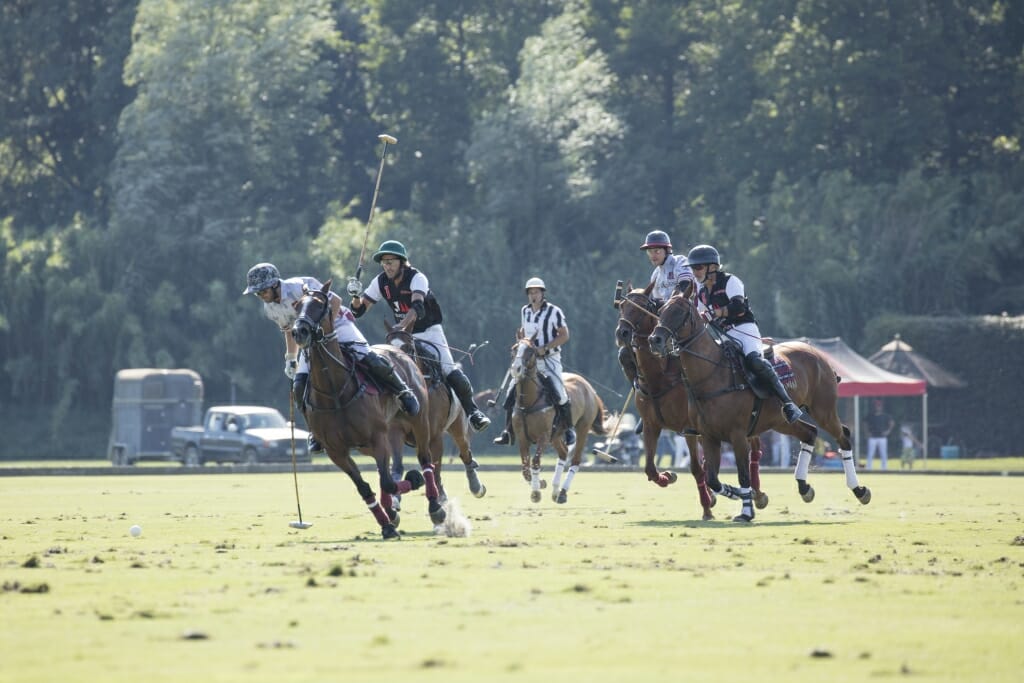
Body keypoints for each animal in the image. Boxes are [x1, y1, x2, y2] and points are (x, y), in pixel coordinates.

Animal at [292, 280, 444, 536]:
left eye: (320, 304)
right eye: (297, 306)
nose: (299, 331)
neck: (335, 392)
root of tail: (401, 352)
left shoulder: (377, 436)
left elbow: (388, 482)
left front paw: (413, 482)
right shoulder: (336, 451)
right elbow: (365, 487)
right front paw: (387, 523)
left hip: (419, 422)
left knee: (425, 460)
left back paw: (435, 506)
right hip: (377, 439)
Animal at [385, 327, 489, 505]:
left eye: (408, 348)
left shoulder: (435, 437)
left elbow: (436, 467)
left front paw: (440, 497)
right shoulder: (396, 431)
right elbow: (398, 464)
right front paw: (395, 499)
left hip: (458, 426)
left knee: (465, 452)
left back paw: (476, 487)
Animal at [507, 339, 610, 505]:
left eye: (530, 351)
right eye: (514, 348)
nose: (516, 369)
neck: (527, 403)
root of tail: (589, 387)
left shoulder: (543, 436)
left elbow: (535, 461)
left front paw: (536, 492)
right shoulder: (522, 437)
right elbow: (525, 467)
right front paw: (540, 483)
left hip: (582, 427)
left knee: (575, 459)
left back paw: (562, 493)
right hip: (556, 434)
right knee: (563, 453)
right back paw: (555, 490)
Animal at [610, 284, 765, 518]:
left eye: (641, 308)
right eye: (622, 306)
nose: (622, 333)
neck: (659, 377)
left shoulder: (689, 428)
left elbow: (696, 468)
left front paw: (707, 508)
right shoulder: (651, 425)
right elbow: (650, 468)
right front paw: (669, 477)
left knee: (753, 449)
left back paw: (756, 494)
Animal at [651, 284, 868, 524]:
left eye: (680, 312)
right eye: (661, 311)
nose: (655, 340)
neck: (711, 374)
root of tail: (818, 355)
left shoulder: (737, 435)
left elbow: (743, 475)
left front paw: (747, 510)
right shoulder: (708, 436)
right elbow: (713, 480)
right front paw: (743, 496)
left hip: (823, 409)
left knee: (843, 436)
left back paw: (859, 490)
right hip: (780, 420)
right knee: (810, 433)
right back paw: (804, 487)